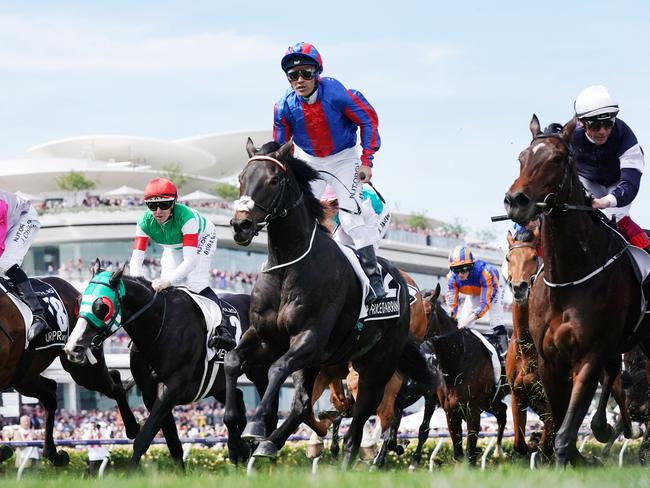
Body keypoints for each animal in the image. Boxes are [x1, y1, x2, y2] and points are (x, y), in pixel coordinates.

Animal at [0, 278, 138, 466]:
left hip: (81, 368)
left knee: (115, 384)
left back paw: (133, 428)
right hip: (22, 375)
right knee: (50, 393)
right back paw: (53, 454)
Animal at [64, 264, 256, 468]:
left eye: (102, 307)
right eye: (80, 301)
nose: (73, 347)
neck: (161, 328)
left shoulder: (172, 387)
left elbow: (144, 438)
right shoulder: (150, 393)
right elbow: (173, 444)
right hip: (216, 383)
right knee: (238, 396)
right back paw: (241, 444)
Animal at [225, 139, 438, 468]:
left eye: (273, 180)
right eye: (241, 178)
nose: (241, 225)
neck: (289, 264)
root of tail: (405, 287)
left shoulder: (310, 338)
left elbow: (277, 369)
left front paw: (257, 424)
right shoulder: (265, 337)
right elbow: (234, 361)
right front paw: (237, 432)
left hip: (378, 363)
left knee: (367, 412)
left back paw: (356, 455)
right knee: (307, 405)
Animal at [420, 286, 506, 466]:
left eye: (428, 312)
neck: (458, 359)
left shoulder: (473, 411)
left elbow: (470, 454)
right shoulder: (451, 412)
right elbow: (459, 454)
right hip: (491, 401)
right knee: (503, 411)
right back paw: (498, 451)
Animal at [502, 113, 648, 466]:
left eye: (556, 159)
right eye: (521, 157)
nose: (516, 202)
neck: (570, 277)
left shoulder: (589, 353)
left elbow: (564, 431)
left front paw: (570, 457)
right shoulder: (549, 360)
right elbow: (558, 419)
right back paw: (602, 427)